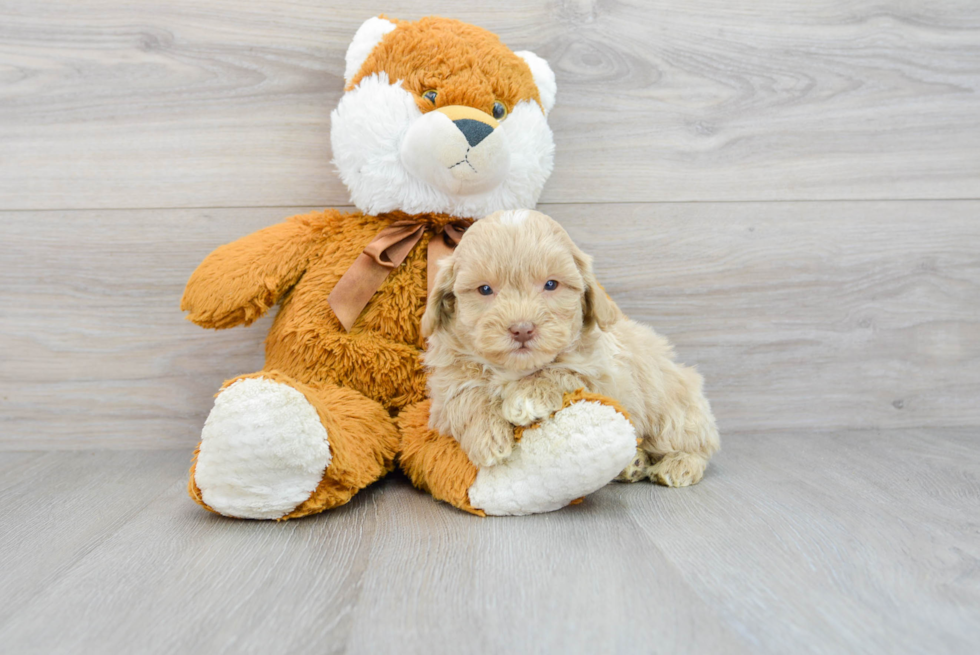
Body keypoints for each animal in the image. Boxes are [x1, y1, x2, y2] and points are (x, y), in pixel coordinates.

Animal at [422, 210, 720, 486]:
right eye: (484, 289)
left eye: (551, 284)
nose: (522, 328)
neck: (515, 369)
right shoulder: (447, 383)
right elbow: (464, 398)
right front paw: (487, 438)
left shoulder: (603, 375)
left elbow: (561, 371)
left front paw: (526, 397)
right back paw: (632, 464)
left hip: (675, 409)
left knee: (697, 444)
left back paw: (678, 465)